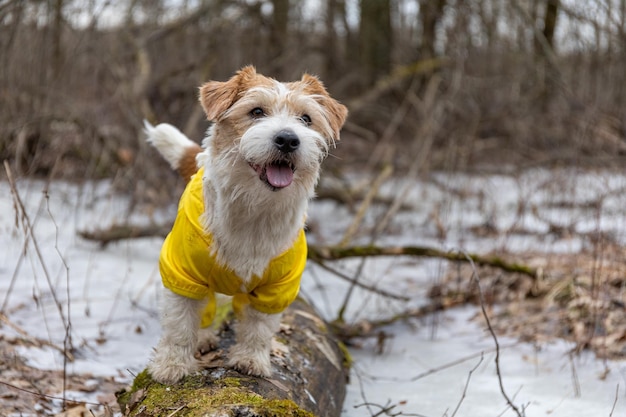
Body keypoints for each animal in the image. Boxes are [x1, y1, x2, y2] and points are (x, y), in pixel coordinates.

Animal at [144, 66, 346, 384]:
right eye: (256, 111)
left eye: (306, 118)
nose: (288, 139)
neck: (254, 208)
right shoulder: (182, 274)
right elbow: (179, 325)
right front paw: (172, 365)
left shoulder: (276, 288)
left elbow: (259, 328)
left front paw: (251, 359)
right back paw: (203, 338)